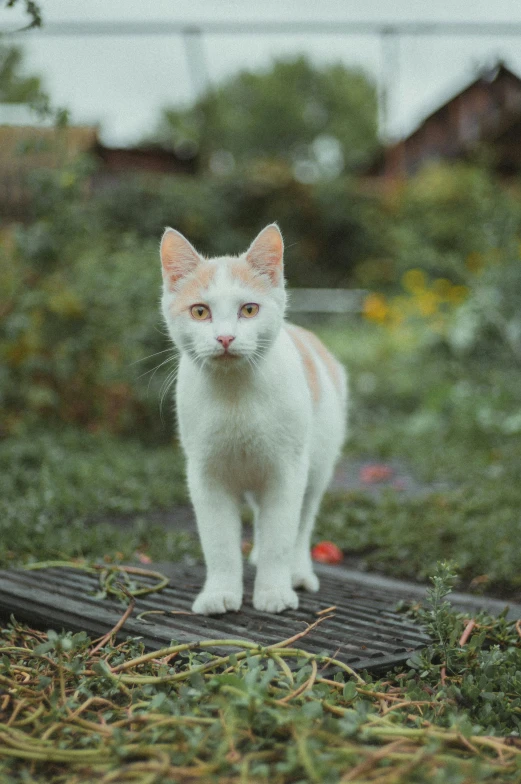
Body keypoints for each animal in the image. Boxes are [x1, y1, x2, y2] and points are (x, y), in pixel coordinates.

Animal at [158, 224, 346, 616]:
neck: (235, 395)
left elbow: (281, 536)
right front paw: (219, 592)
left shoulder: (287, 471)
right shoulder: (205, 475)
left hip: (316, 467)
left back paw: (297, 573)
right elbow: (218, 542)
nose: (225, 337)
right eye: (200, 312)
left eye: (248, 309)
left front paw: (273, 591)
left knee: (302, 523)